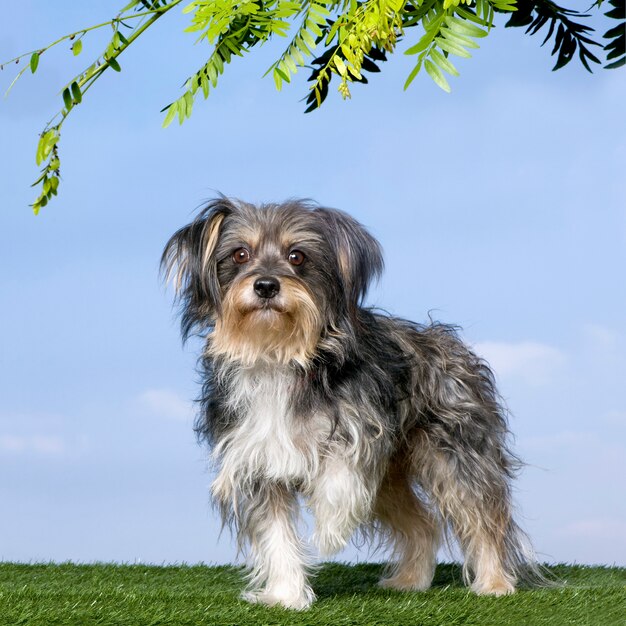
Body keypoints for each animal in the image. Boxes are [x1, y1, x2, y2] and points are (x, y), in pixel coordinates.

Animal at [161, 197, 536, 608]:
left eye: (297, 256)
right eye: (239, 254)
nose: (265, 286)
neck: (278, 355)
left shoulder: (361, 428)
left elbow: (340, 478)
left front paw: (330, 528)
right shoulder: (258, 462)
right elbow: (276, 536)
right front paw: (286, 595)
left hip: (455, 455)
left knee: (483, 518)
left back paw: (495, 583)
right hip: (392, 479)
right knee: (424, 523)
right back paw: (411, 580)